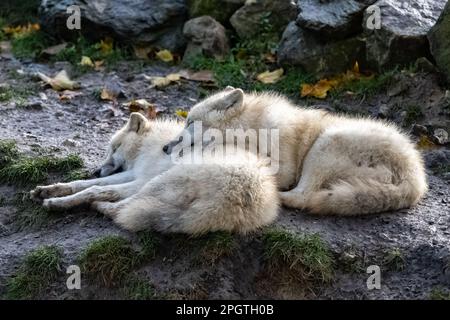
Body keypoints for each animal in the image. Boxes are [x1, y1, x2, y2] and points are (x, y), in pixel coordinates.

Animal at [30, 113, 278, 235]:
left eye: (114, 148)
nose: (96, 170)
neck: (150, 145)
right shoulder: (134, 174)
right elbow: (83, 183)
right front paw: (50, 189)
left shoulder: (140, 179)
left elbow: (95, 188)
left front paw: (57, 201)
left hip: (155, 184)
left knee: (120, 208)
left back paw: (96, 206)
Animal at [163, 87, 428, 216]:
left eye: (189, 122)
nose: (165, 148)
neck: (254, 128)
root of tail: (415, 179)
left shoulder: (285, 169)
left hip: (324, 145)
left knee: (303, 197)